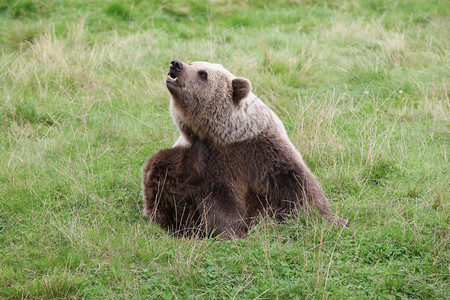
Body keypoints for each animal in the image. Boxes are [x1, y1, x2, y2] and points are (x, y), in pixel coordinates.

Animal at [143, 59, 348, 238]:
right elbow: (220, 200)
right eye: (193, 63)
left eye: (202, 73)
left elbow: (298, 184)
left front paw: (333, 219)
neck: (227, 136)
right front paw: (233, 231)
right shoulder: (214, 163)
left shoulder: (264, 151)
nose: (176, 64)